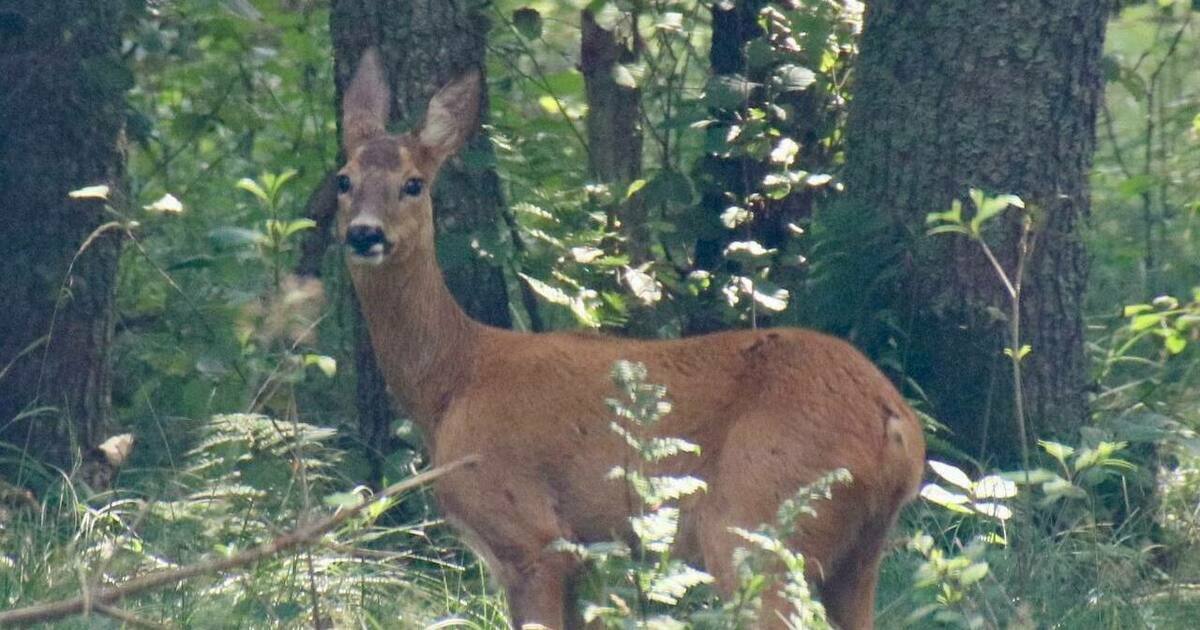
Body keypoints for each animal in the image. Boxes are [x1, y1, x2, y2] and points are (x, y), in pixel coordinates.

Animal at [338, 50, 926, 628]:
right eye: (343, 179)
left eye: (413, 183)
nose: (364, 233)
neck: (454, 380)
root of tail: (895, 423)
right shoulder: (585, 556)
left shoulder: (529, 533)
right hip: (857, 556)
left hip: (759, 520)